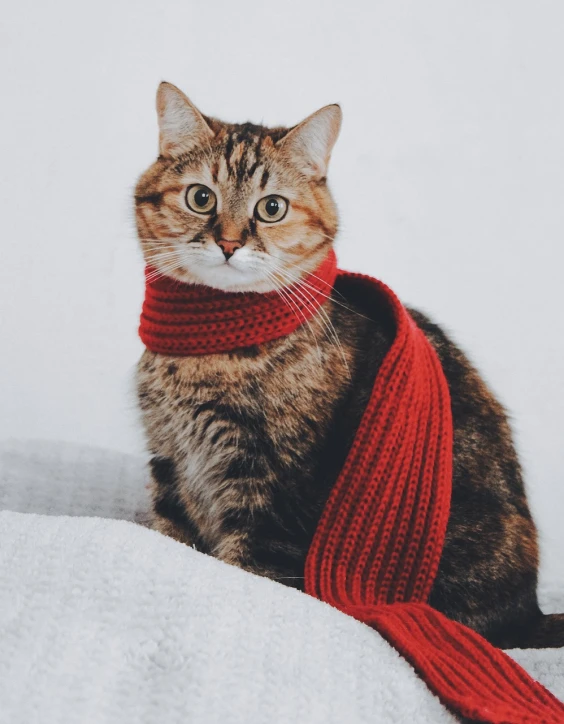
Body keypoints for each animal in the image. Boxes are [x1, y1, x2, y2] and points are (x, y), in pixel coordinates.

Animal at [135, 80, 564, 652]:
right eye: (201, 197)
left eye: (271, 207)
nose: (228, 242)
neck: (204, 355)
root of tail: (529, 614)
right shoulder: (169, 463)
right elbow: (170, 540)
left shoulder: (270, 493)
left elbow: (247, 574)